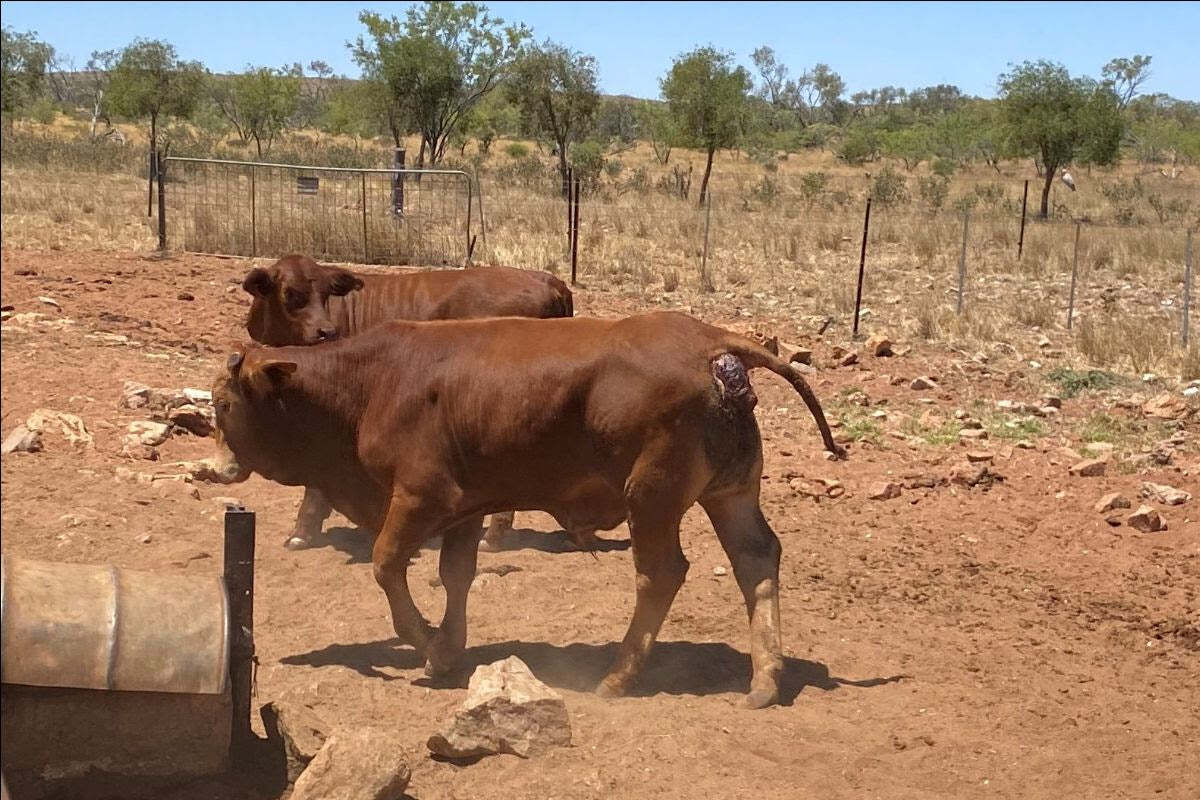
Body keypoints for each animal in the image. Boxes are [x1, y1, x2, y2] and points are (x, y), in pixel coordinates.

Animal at [210, 311, 843, 708]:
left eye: (221, 404)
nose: (213, 469)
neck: (374, 381)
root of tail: (711, 343)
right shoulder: (466, 506)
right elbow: (455, 574)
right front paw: (449, 647)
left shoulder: (420, 496)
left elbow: (387, 565)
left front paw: (430, 647)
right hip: (730, 494)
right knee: (756, 560)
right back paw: (765, 678)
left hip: (652, 497)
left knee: (661, 574)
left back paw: (618, 676)